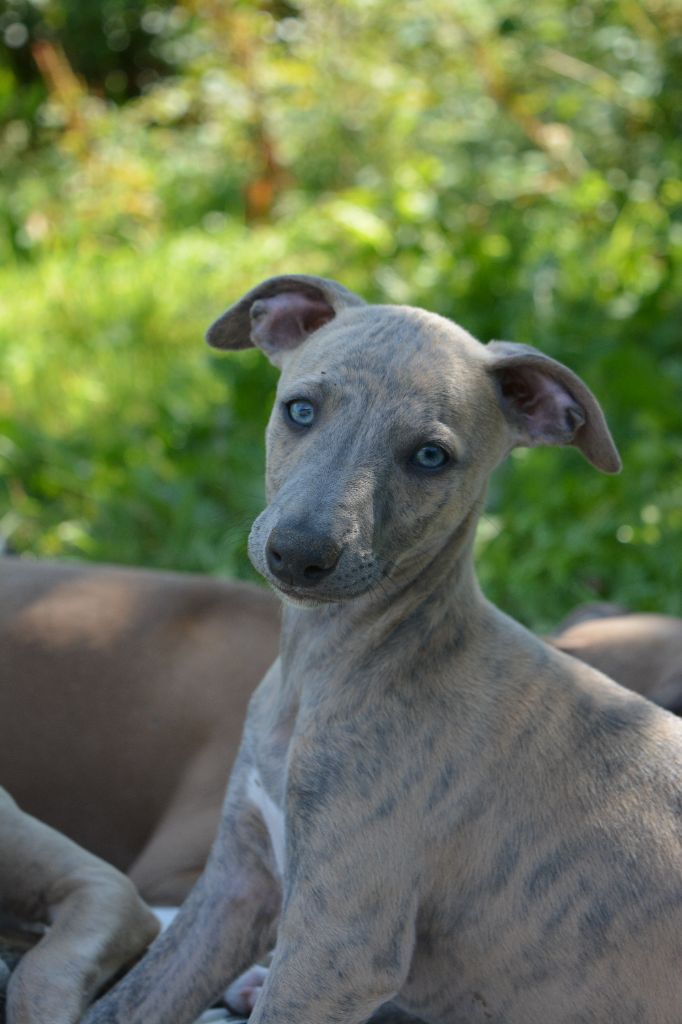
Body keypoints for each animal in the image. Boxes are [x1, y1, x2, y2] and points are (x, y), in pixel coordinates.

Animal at [77, 274, 682, 1023]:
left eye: (430, 456)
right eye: (300, 410)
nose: (299, 555)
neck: (339, 664)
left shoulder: (337, 944)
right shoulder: (237, 884)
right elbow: (124, 1002)